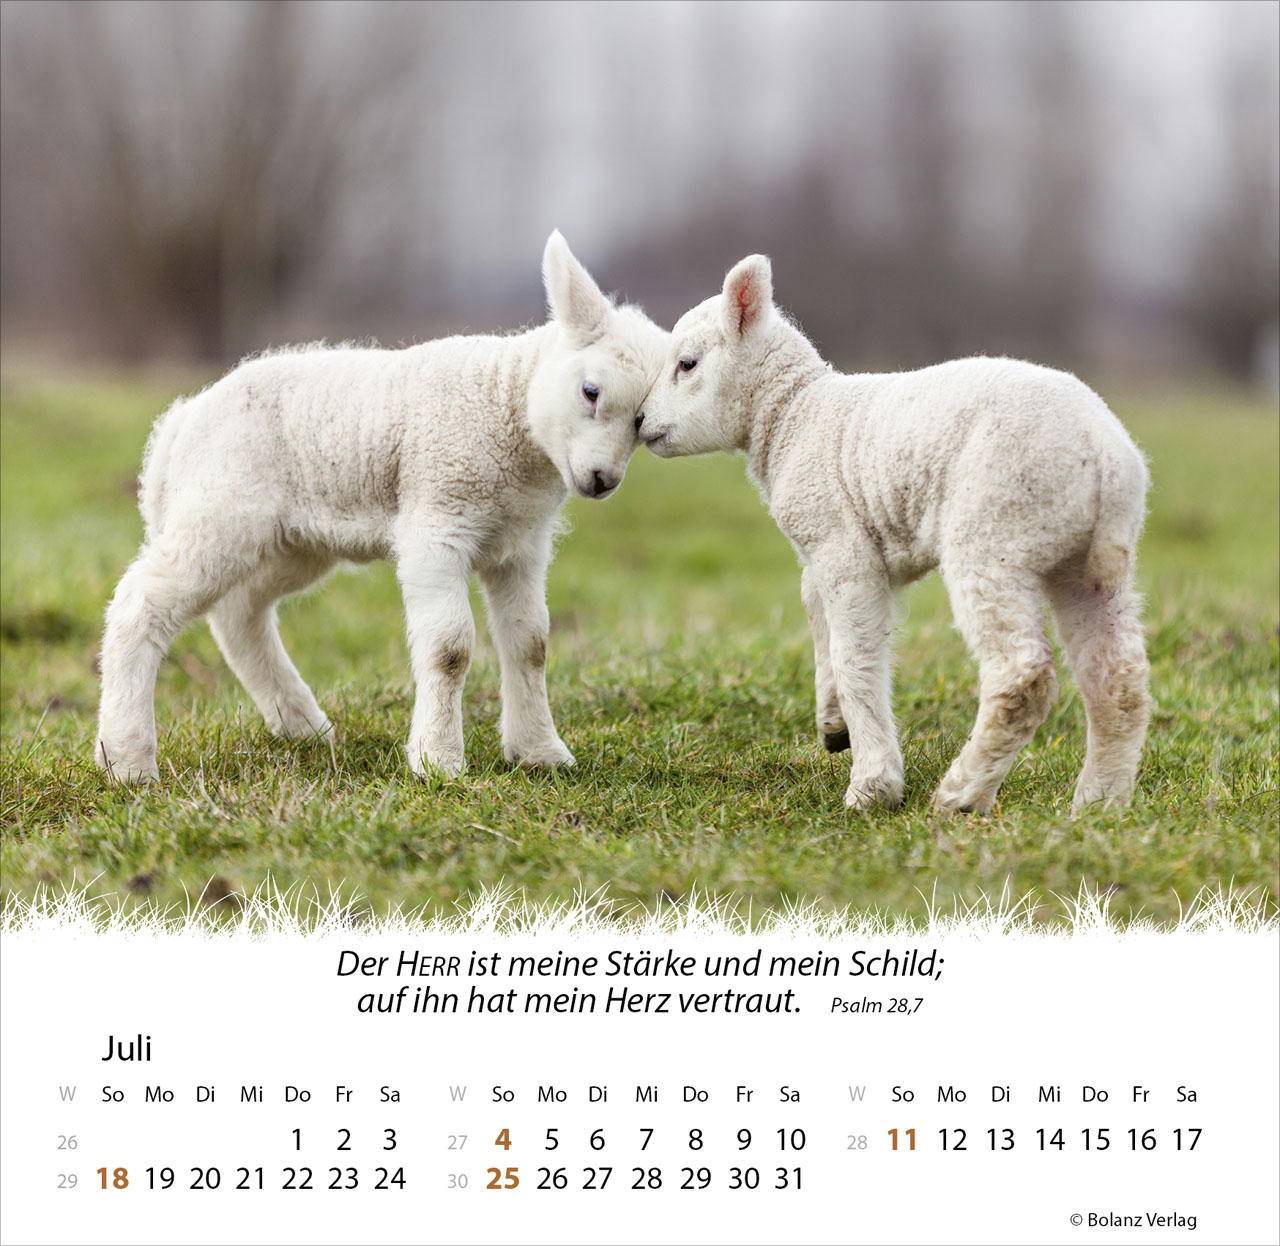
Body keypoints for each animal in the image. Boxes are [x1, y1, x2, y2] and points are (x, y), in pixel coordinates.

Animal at [95, 231, 667, 784]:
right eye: (590, 391)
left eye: (642, 424)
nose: (602, 480)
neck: (508, 406)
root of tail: (179, 424)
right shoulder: (437, 519)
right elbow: (450, 648)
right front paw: (438, 761)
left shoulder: (520, 545)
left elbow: (531, 644)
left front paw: (540, 754)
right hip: (221, 509)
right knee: (141, 603)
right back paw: (127, 760)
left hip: (292, 542)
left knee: (240, 614)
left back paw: (303, 727)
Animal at [638, 254, 1151, 814]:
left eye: (687, 364)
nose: (639, 421)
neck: (794, 415)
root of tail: (1104, 453)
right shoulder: (840, 547)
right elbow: (817, 614)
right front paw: (833, 724)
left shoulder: (842, 547)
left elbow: (855, 658)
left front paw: (872, 785)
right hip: (1082, 560)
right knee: (1118, 678)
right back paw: (1098, 803)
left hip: (995, 532)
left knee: (1023, 676)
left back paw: (961, 795)